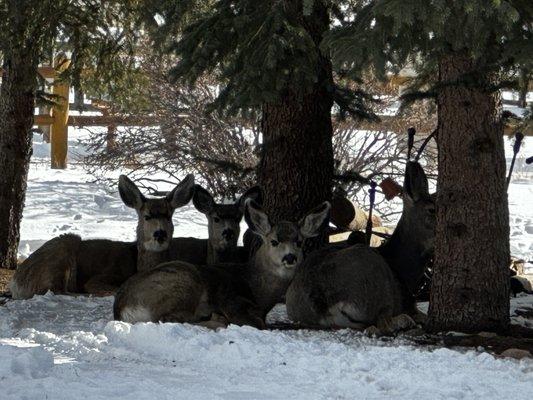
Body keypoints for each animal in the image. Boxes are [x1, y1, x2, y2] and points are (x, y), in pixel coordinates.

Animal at [284, 161, 434, 336]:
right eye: (431, 209)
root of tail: (322, 304)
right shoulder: (409, 303)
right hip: (376, 283)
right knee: (382, 324)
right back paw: (405, 322)